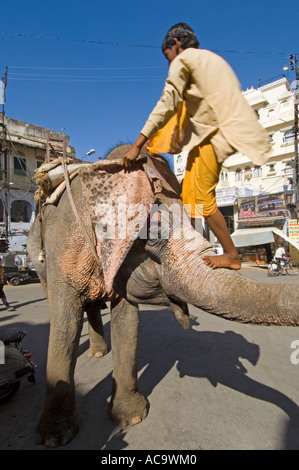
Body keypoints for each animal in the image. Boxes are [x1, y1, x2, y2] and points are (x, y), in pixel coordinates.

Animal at [27, 143, 299, 448]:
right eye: (153, 233)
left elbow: (128, 321)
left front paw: (130, 418)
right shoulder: (64, 245)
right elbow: (64, 324)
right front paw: (54, 438)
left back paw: (100, 352)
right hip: (39, 261)